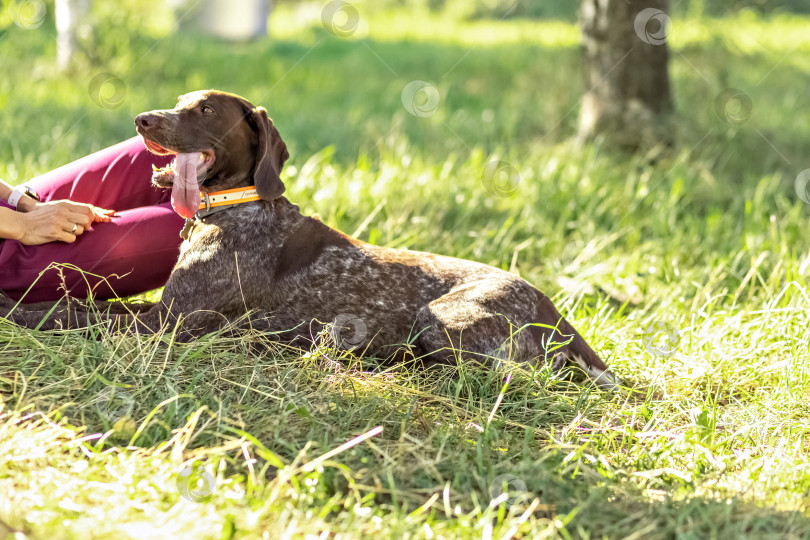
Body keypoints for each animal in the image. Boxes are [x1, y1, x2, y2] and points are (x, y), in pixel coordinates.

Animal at [0, 90, 616, 390]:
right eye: (176, 102)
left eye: (205, 109)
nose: (143, 120)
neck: (237, 208)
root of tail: (552, 308)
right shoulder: (164, 311)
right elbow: (86, 307)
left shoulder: (162, 326)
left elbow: (74, 313)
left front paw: (17, 310)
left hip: (443, 318)